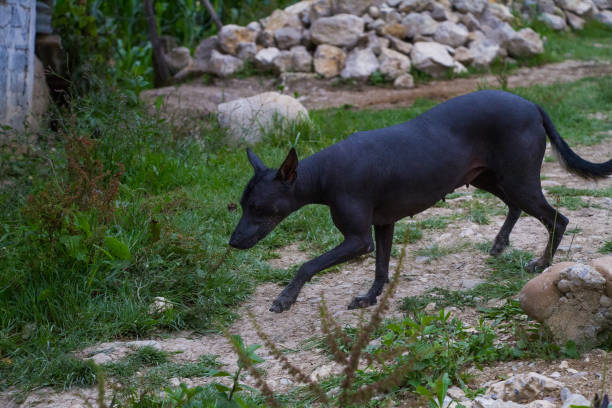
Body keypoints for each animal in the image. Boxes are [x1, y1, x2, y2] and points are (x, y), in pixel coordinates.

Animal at [230, 90, 612, 312]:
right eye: (241, 205)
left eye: (259, 209)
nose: (232, 243)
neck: (323, 173)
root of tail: (531, 104)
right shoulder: (382, 226)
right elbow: (381, 268)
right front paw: (370, 298)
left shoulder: (358, 239)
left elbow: (307, 265)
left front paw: (285, 298)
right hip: (490, 178)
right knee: (517, 207)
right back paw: (501, 242)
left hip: (517, 180)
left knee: (557, 219)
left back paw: (544, 262)